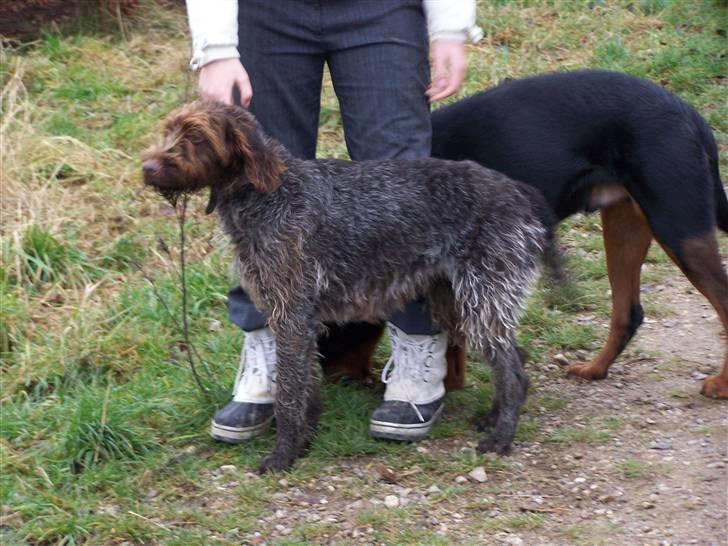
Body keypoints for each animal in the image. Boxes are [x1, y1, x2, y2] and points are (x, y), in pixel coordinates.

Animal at [142, 100, 560, 470]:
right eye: (168, 130)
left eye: (197, 136)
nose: (147, 167)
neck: (268, 193)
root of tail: (519, 193)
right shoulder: (296, 319)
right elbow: (304, 386)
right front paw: (304, 442)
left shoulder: (292, 315)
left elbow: (288, 393)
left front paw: (283, 455)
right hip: (458, 300)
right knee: (513, 360)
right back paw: (493, 418)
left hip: (483, 298)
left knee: (514, 374)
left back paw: (501, 437)